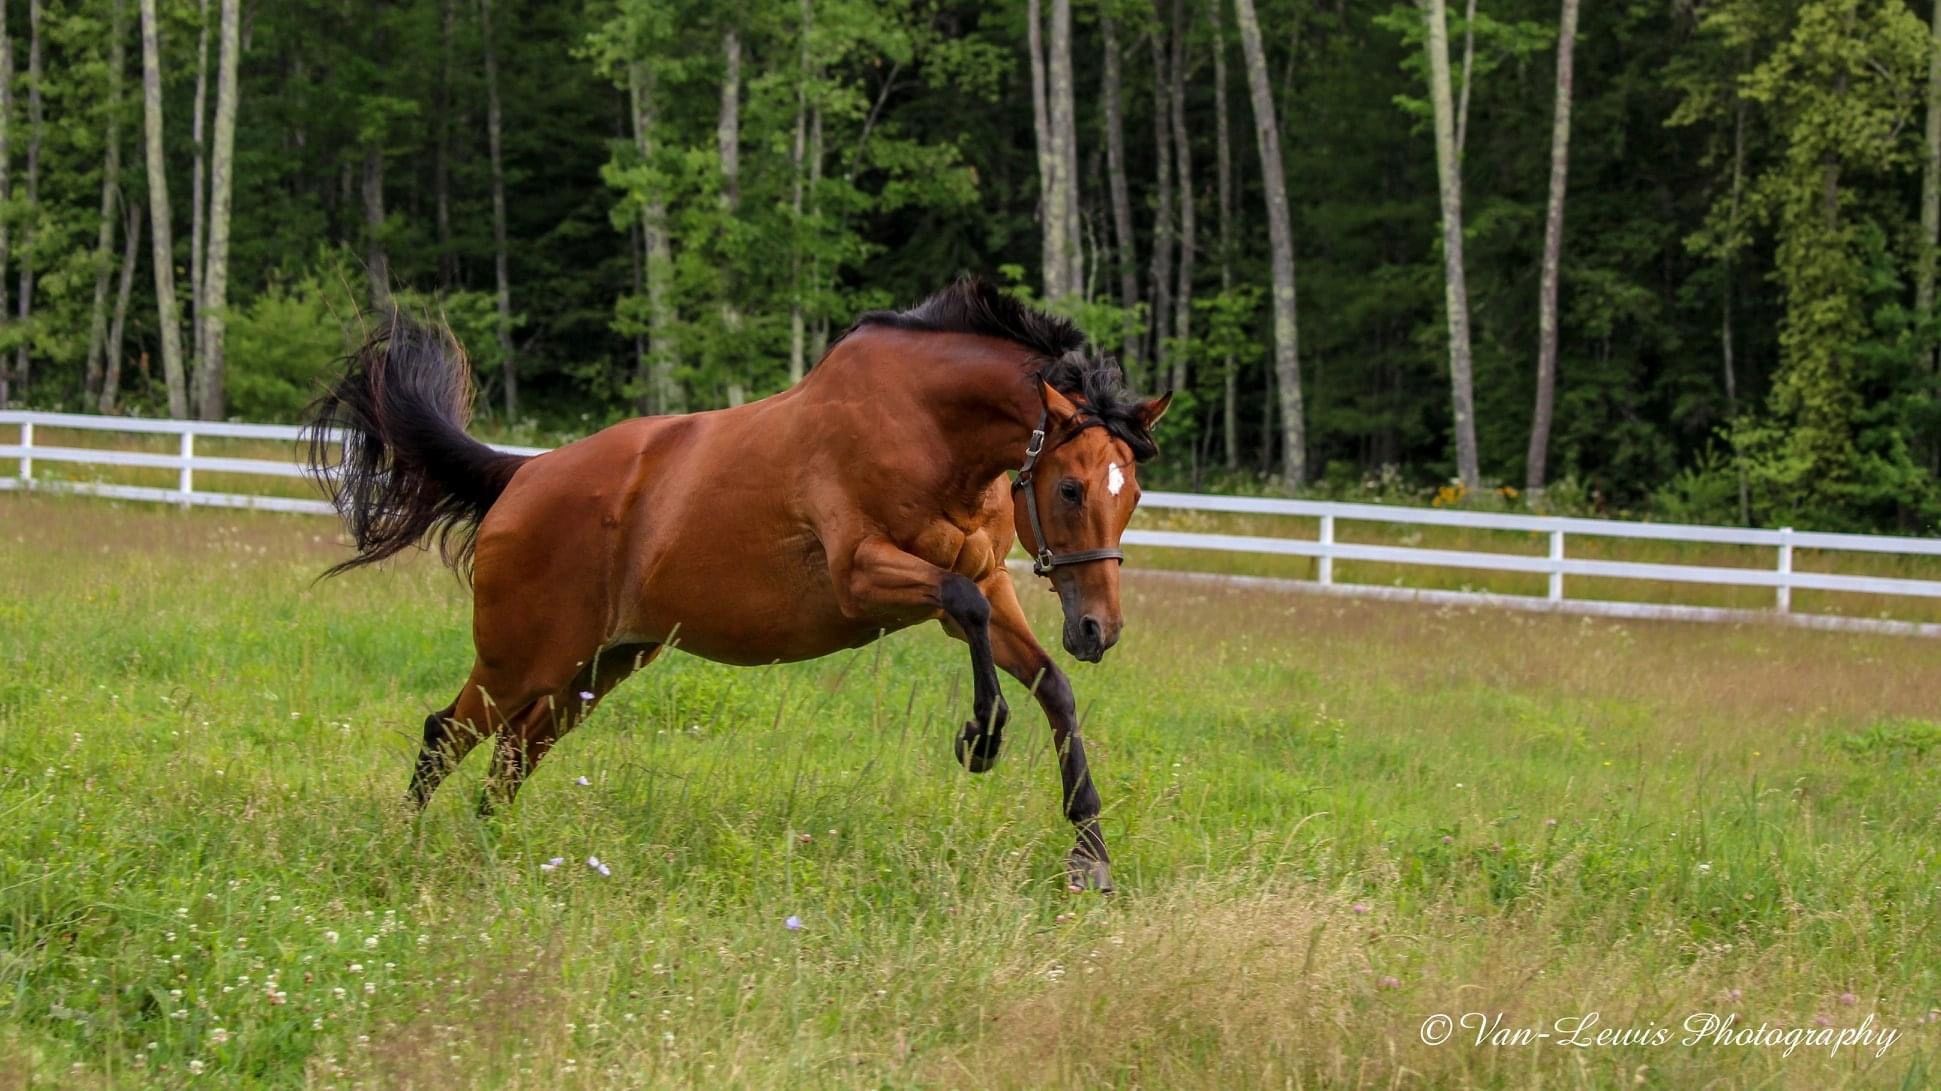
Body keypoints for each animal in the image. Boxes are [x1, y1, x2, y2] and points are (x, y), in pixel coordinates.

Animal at [303, 278, 1170, 892]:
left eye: (1130, 493)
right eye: (1069, 488)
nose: (1099, 629)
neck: (927, 425)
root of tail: (521, 475)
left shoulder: (986, 579)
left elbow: (1051, 685)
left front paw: (1089, 858)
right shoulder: (865, 574)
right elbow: (966, 617)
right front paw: (980, 739)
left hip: (596, 668)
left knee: (511, 755)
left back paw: (486, 852)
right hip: (521, 660)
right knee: (444, 733)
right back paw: (406, 850)